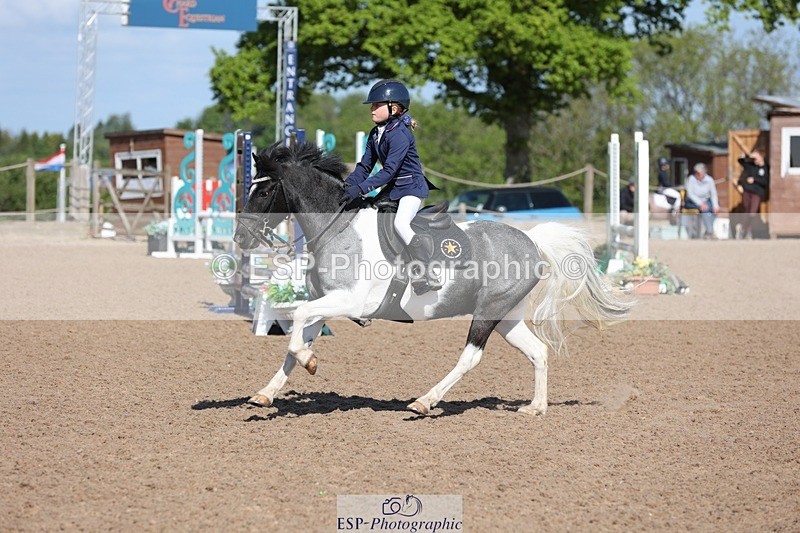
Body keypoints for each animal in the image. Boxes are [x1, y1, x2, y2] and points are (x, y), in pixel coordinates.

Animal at [233, 142, 632, 416]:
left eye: (265, 191)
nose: (240, 239)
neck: (339, 229)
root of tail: (532, 240)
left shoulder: (348, 301)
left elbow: (299, 323)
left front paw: (310, 363)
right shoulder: (325, 303)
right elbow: (295, 341)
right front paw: (267, 393)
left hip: (487, 312)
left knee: (470, 358)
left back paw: (424, 402)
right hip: (506, 315)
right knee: (538, 352)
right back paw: (535, 407)